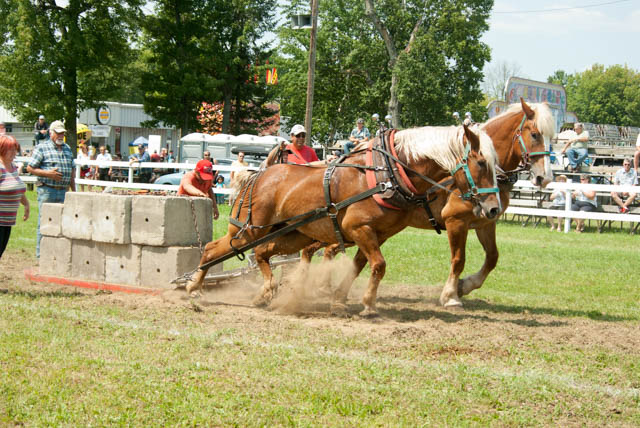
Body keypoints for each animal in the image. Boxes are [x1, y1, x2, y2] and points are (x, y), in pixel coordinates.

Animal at [185, 125, 500, 316]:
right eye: (481, 163)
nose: (494, 209)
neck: (387, 173)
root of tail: (258, 174)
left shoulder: (375, 234)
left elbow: (361, 265)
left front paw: (340, 299)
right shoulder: (357, 228)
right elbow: (379, 265)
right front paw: (368, 305)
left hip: (291, 235)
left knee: (262, 253)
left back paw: (265, 292)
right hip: (249, 230)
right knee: (214, 248)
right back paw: (194, 286)